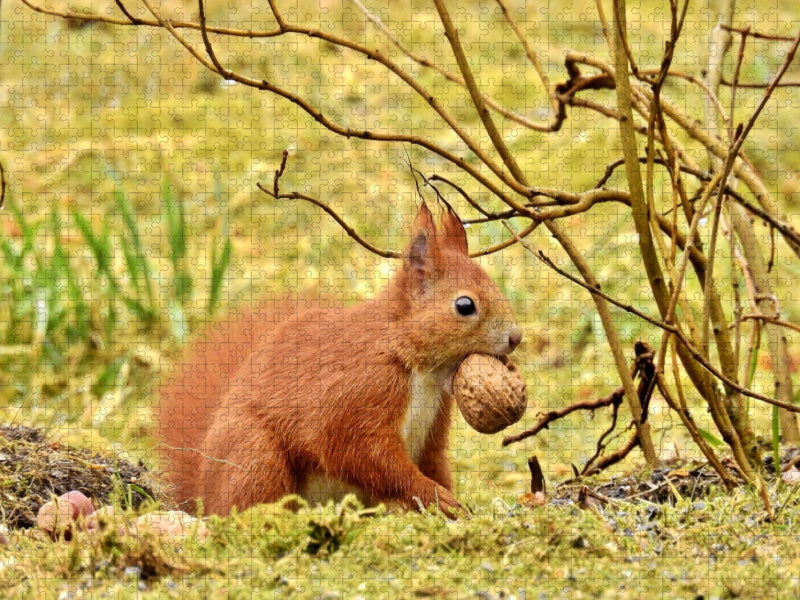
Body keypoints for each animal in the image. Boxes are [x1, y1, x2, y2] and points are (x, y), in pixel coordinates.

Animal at [158, 203, 522, 517]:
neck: (418, 368)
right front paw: (433, 495)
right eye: (464, 305)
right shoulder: (359, 392)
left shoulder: (433, 428)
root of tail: (204, 497)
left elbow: (434, 463)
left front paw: (454, 505)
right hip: (253, 455)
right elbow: (360, 452)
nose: (516, 337)